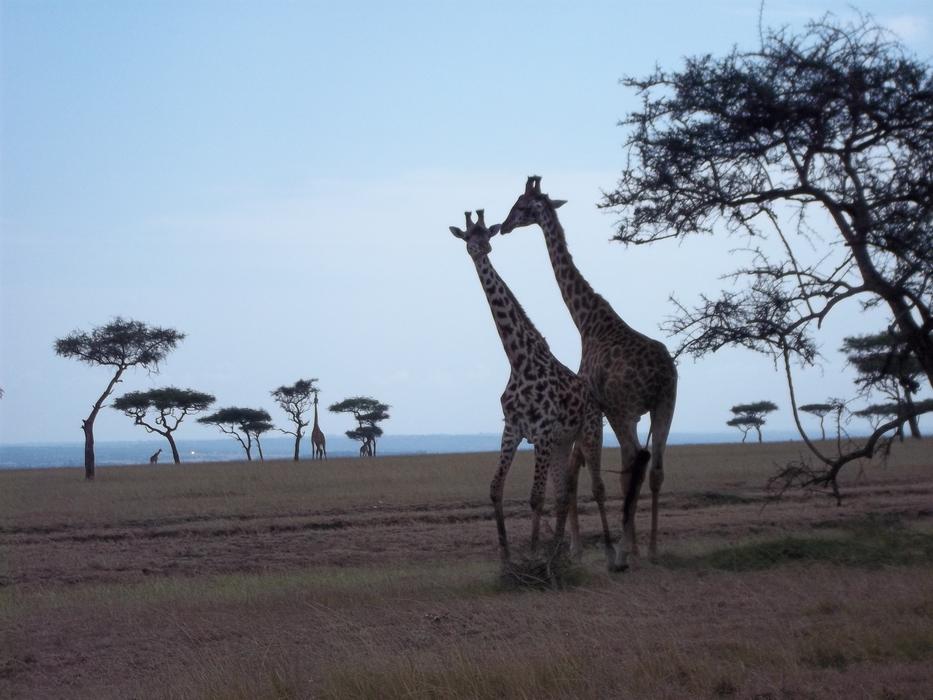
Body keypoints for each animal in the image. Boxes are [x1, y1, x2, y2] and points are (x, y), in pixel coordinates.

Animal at [450, 208, 616, 564]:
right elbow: (496, 488)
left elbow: (535, 497)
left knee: (596, 487)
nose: (479, 249)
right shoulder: (513, 428)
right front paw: (506, 555)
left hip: (588, 432)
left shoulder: (540, 431)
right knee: (564, 491)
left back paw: (609, 551)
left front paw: (534, 553)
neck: (518, 359)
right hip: (561, 442)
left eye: (486, 233)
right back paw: (560, 549)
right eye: (467, 236)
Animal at [502, 174, 676, 568]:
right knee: (656, 469)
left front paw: (579, 547)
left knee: (634, 464)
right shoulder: (615, 413)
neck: (587, 321)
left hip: (624, 410)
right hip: (666, 404)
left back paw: (627, 549)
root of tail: (661, 374)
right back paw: (652, 548)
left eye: (520, 205)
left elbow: (576, 474)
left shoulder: (599, 410)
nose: (502, 227)